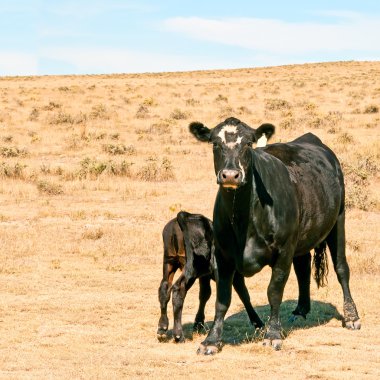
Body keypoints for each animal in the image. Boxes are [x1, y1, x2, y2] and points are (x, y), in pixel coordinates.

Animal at [156, 209, 262, 342]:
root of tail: (184, 215)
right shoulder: (234, 275)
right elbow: (244, 294)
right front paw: (258, 323)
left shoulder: (204, 276)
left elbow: (204, 295)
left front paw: (198, 323)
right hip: (192, 267)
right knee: (178, 289)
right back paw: (178, 334)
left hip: (169, 261)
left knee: (164, 288)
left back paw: (162, 327)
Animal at [191, 117, 360, 354]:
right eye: (215, 143)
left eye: (248, 144)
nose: (230, 175)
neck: (243, 218)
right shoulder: (223, 255)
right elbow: (222, 298)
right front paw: (211, 340)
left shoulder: (283, 251)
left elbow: (274, 291)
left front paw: (272, 335)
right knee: (303, 268)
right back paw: (300, 310)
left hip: (339, 218)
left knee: (341, 267)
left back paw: (351, 315)